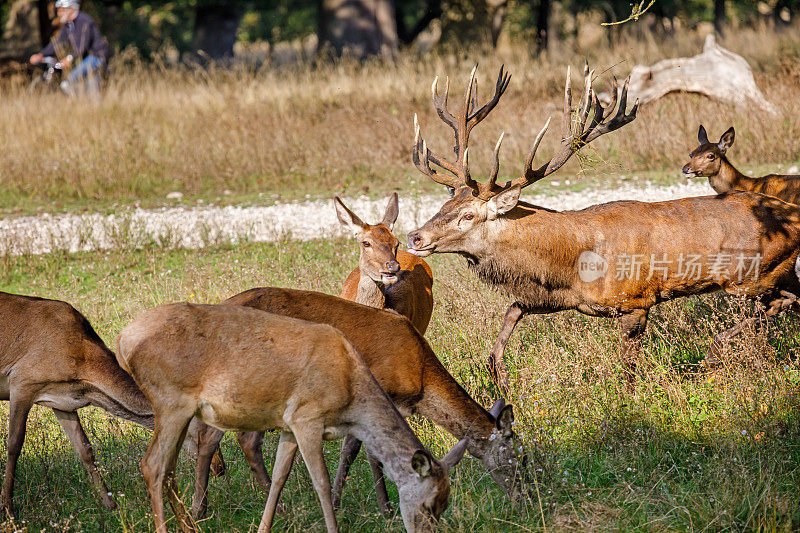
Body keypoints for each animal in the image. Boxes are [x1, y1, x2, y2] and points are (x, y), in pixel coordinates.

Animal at [114, 302, 462, 532]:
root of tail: (122, 339)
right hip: (171, 400)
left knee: (170, 468)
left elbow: (280, 478)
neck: (351, 398)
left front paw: (264, 526)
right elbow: (321, 482)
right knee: (153, 465)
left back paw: (192, 527)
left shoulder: (288, 426)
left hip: (179, 410)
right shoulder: (307, 416)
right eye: (430, 504)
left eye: (446, 504)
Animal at [189, 286, 524, 520]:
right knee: (221, 436)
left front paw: (375, 505)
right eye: (514, 456)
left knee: (233, 438)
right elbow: (357, 452)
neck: (419, 380)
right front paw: (371, 506)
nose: (525, 496)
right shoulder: (377, 389)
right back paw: (212, 508)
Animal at [406, 64, 800, 384]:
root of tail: (792, 214)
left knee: (783, 302)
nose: (414, 237)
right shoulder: (554, 297)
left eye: (468, 215)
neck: (571, 262)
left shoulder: (635, 300)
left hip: (754, 276)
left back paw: (715, 351)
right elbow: (504, 328)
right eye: (445, 203)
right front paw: (501, 383)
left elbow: (627, 368)